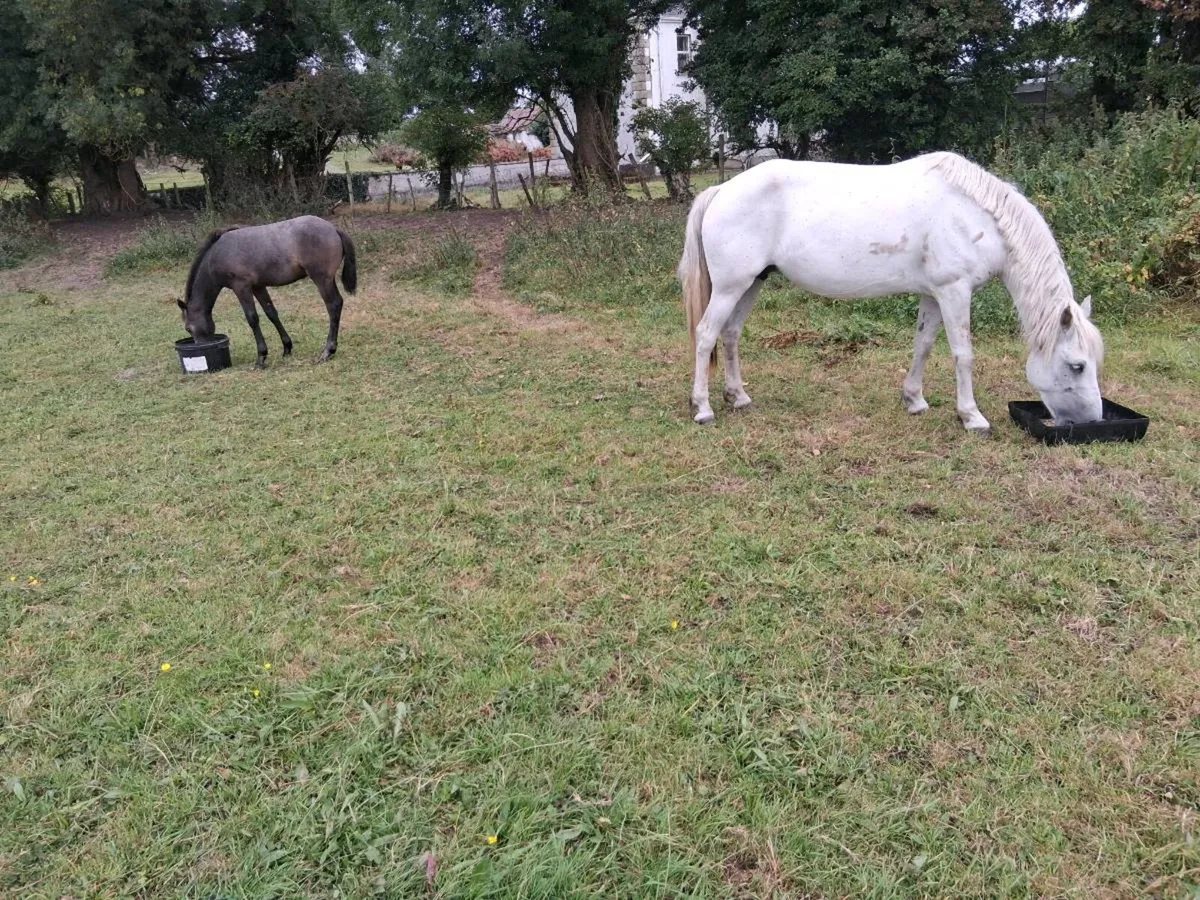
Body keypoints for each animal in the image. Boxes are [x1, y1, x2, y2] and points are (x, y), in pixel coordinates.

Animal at [178, 215, 357, 368]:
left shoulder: (241, 287)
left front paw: (261, 357)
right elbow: (271, 313)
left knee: (333, 305)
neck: (217, 255)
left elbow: (252, 318)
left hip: (321, 279)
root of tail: (333, 228)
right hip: (327, 279)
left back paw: (328, 351)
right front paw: (287, 348)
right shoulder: (258, 286)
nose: (200, 348)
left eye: (188, 328)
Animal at [678, 152, 1105, 433]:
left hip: (751, 283)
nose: (1093, 421)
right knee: (706, 335)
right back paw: (703, 408)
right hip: (731, 287)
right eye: (1077, 366)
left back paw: (738, 397)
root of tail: (721, 189)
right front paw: (971, 416)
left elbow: (924, 346)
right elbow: (963, 354)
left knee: (730, 335)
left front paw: (914, 400)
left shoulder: (934, 295)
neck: (974, 216)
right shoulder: (955, 291)